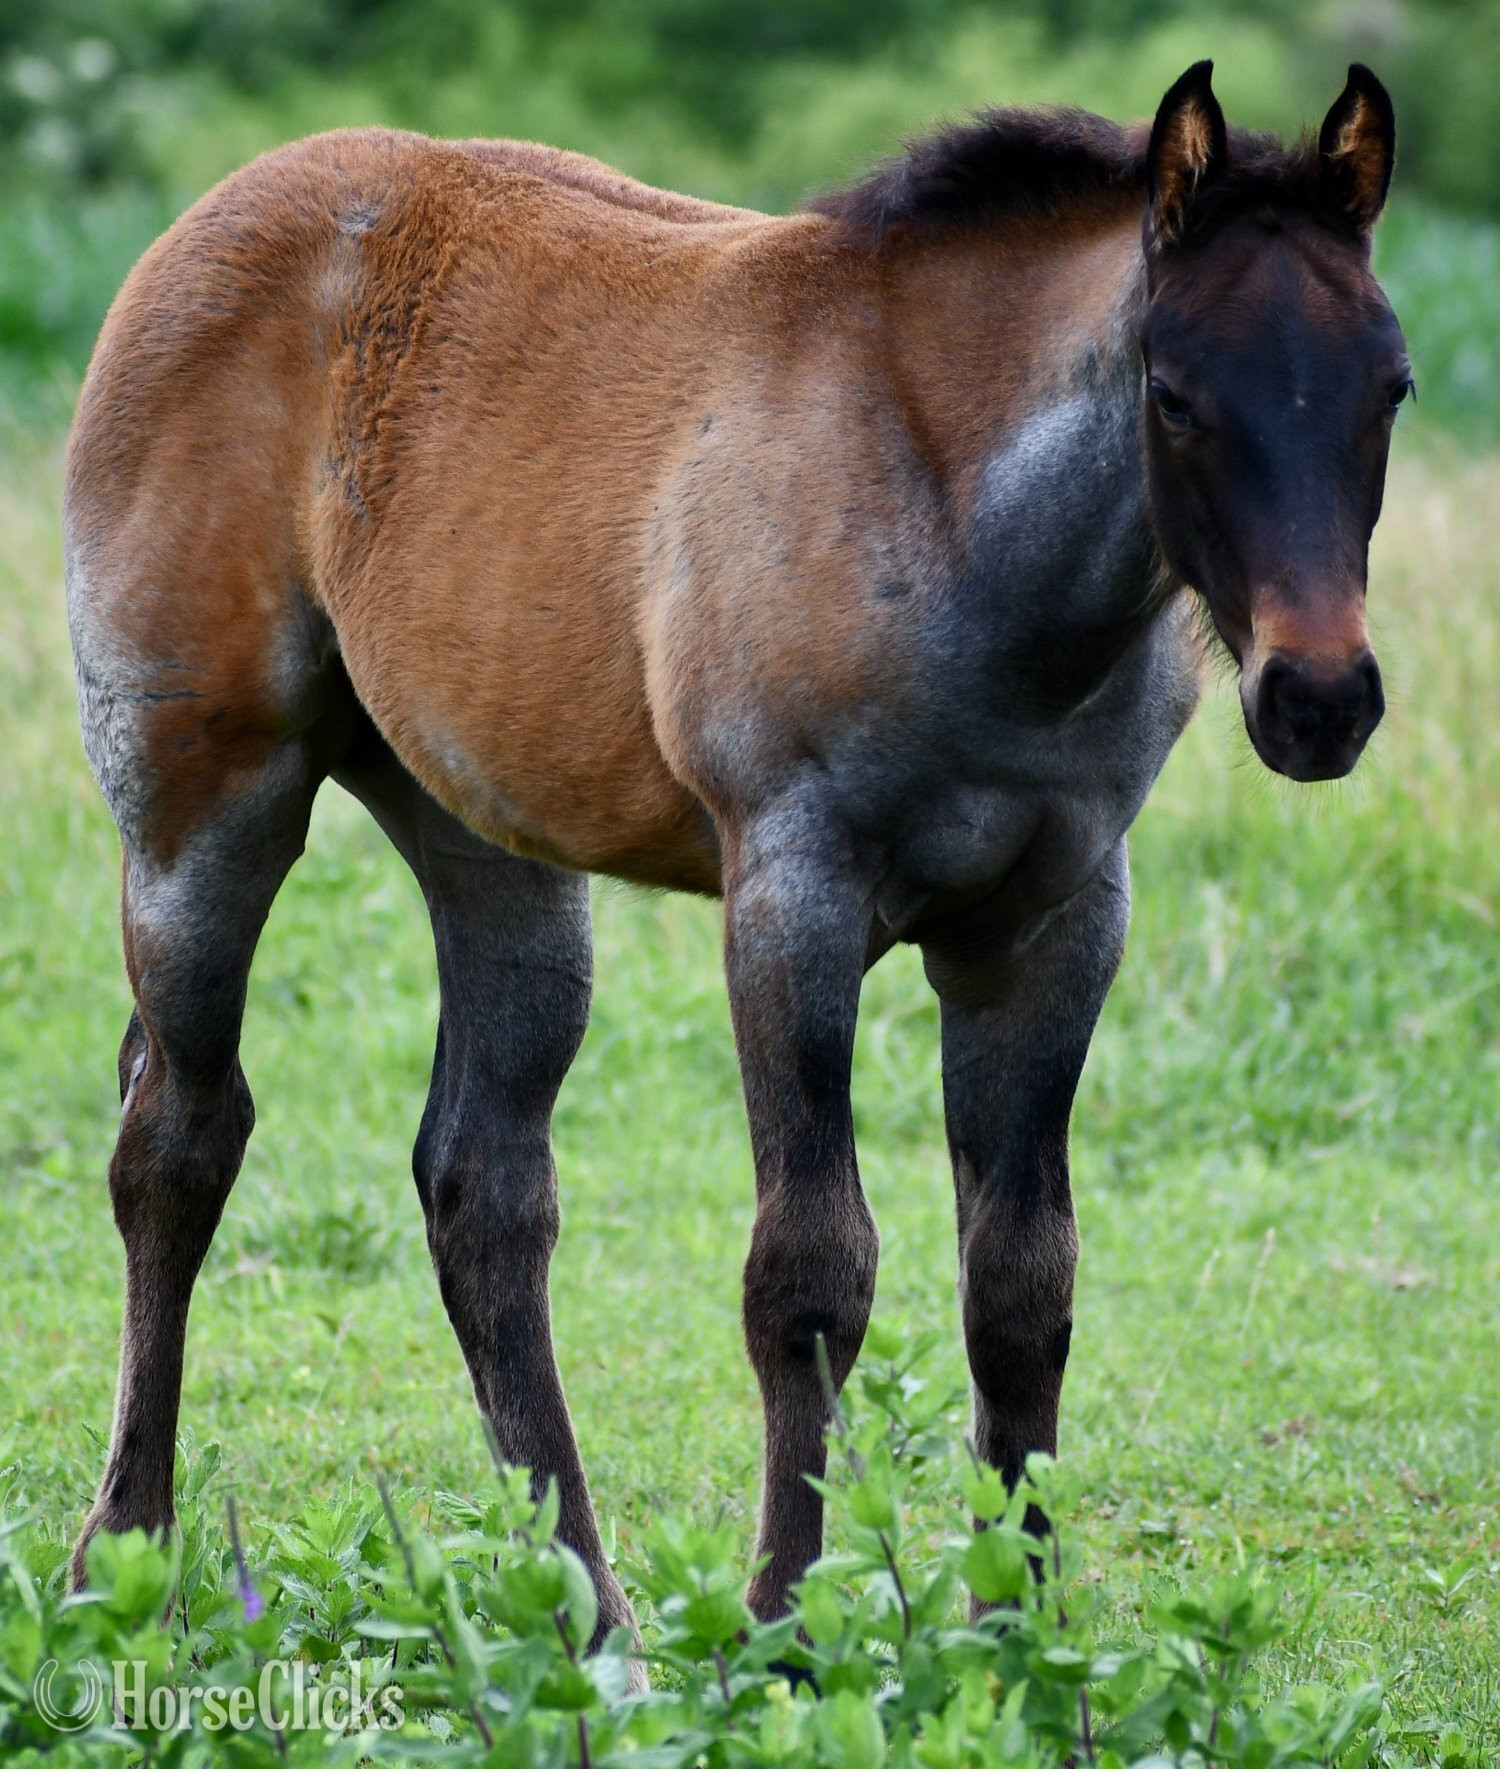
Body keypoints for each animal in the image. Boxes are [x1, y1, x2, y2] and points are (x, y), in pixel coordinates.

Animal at [64, 59, 1407, 1655]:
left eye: (1392, 386)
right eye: (1174, 394)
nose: (1319, 699)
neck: (961, 525)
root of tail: (206, 221)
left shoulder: (1058, 918)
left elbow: (1023, 1281)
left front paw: (1019, 1634)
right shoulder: (794, 892)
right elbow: (811, 1270)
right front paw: (781, 1625)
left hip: (488, 839)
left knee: (482, 1186)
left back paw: (588, 1618)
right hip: (202, 805)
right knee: (176, 1141)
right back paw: (121, 1556)